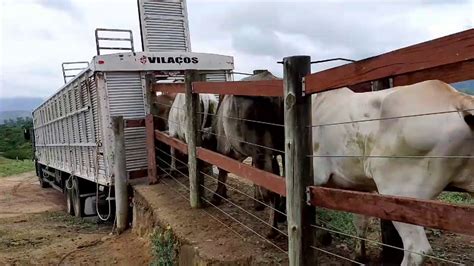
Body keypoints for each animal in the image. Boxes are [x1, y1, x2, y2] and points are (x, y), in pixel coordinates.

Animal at [312, 80, 474, 264]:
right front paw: (359, 255)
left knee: (417, 250)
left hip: (402, 195)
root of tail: (457, 97)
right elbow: (360, 220)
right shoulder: (358, 186)